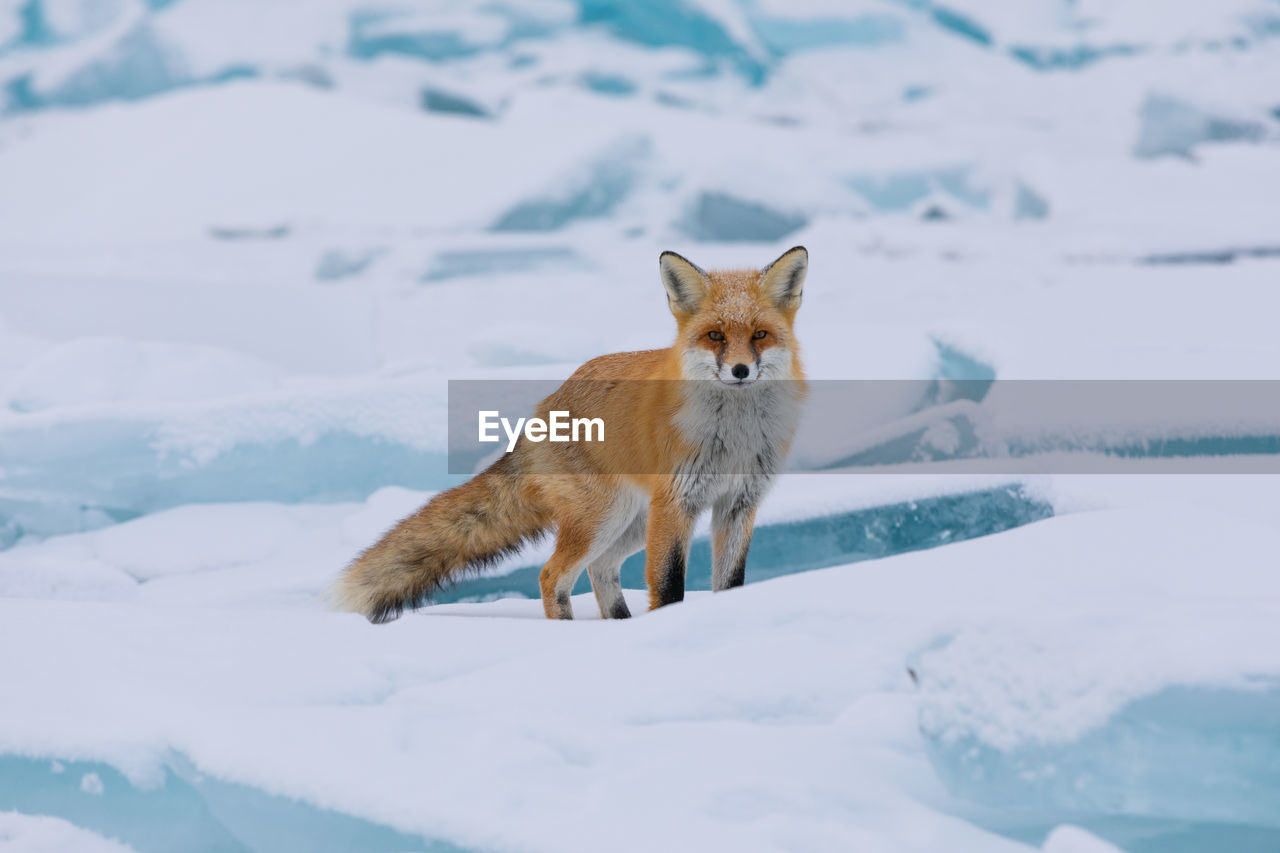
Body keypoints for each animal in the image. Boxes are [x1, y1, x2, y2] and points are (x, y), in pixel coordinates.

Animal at [335, 245, 803, 617]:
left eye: (760, 334)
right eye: (715, 336)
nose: (740, 370)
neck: (734, 438)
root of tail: (545, 405)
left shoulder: (739, 504)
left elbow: (731, 584)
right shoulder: (677, 504)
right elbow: (668, 586)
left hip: (629, 521)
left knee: (600, 567)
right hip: (606, 517)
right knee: (552, 575)